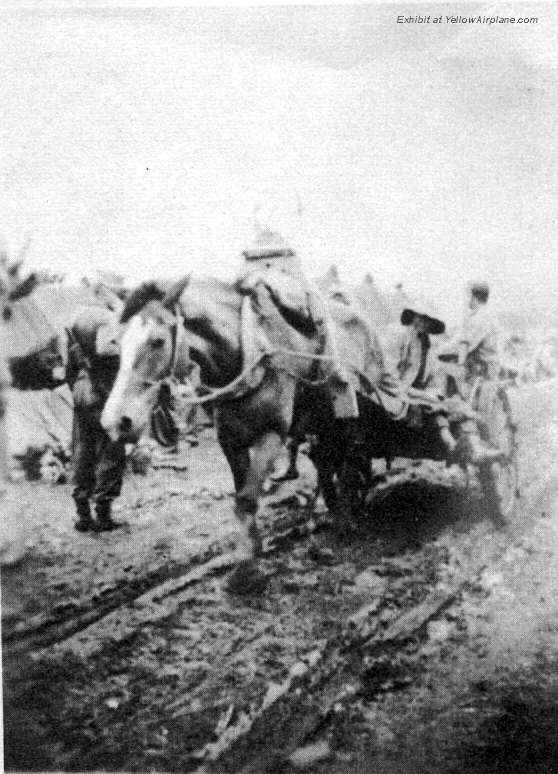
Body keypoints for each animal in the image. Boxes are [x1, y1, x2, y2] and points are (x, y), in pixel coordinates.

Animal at [103, 276, 388, 592]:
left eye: (158, 341)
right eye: (118, 343)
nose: (115, 422)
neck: (249, 353)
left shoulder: (272, 435)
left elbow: (248, 499)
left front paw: (247, 571)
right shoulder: (231, 441)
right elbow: (241, 499)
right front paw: (250, 556)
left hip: (353, 412)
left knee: (351, 459)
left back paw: (350, 515)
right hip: (323, 422)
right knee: (327, 462)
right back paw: (336, 512)